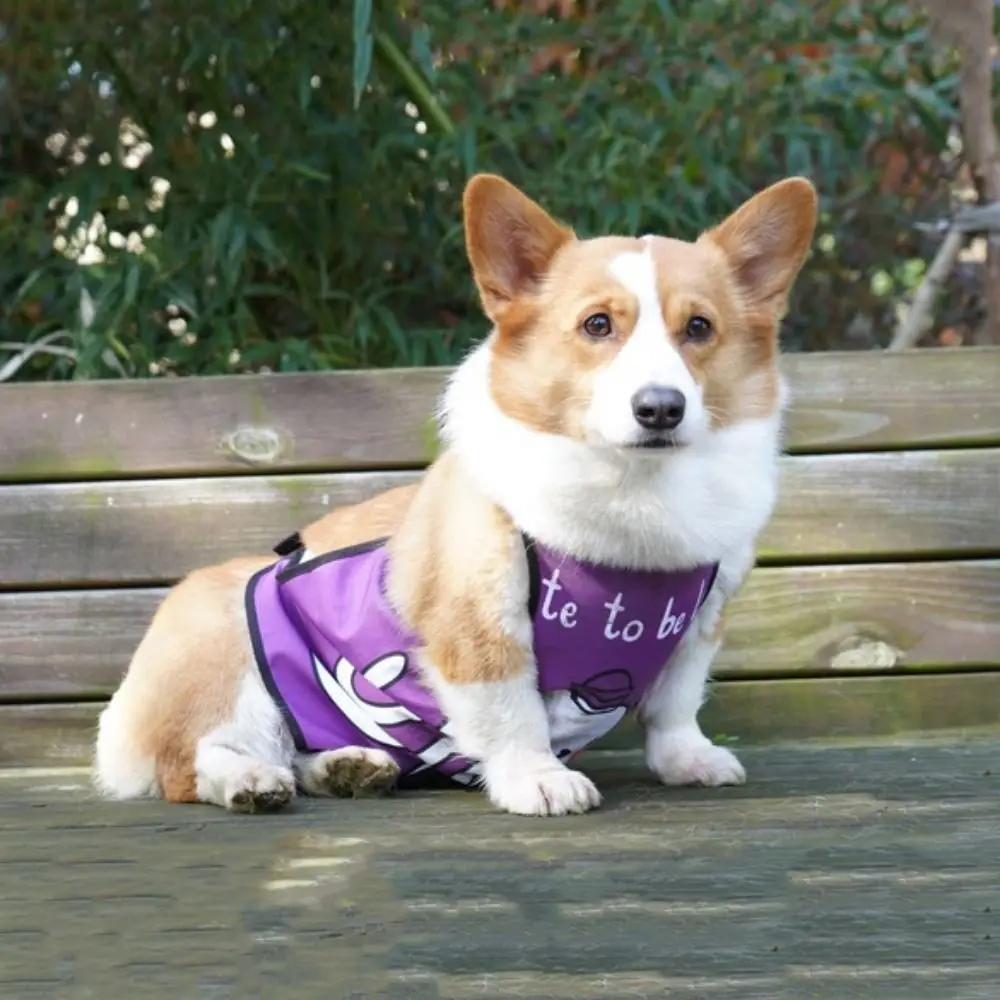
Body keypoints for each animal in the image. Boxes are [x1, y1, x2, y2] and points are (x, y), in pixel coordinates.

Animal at [94, 170, 816, 812]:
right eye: (596, 326)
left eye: (698, 328)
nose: (660, 408)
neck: (631, 492)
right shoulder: (478, 624)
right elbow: (513, 713)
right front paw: (539, 780)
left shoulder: (700, 625)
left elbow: (674, 707)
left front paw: (689, 760)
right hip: (226, 649)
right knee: (196, 759)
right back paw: (248, 780)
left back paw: (345, 766)